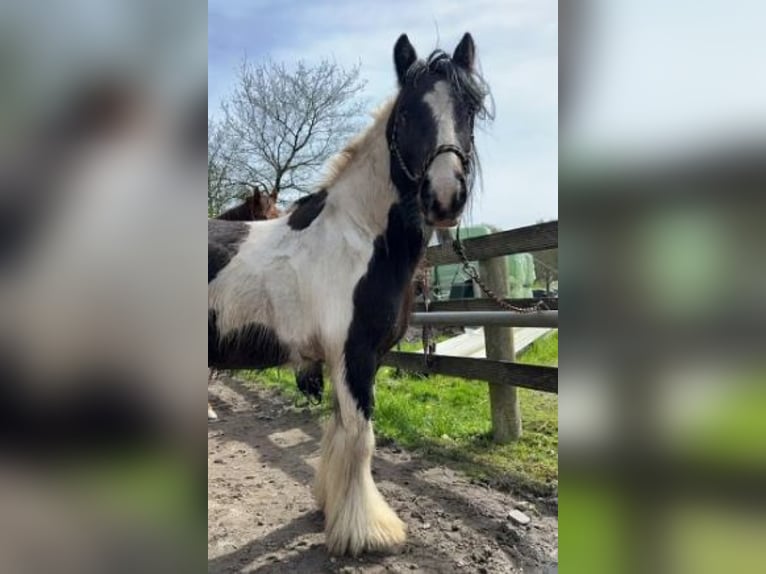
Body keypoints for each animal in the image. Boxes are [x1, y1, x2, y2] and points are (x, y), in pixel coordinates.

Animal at [207, 32, 488, 560]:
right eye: (407, 113)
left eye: (472, 109)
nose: (444, 197)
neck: (358, 234)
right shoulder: (353, 353)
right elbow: (361, 438)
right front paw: (367, 533)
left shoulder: (352, 359)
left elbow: (339, 432)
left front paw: (330, 507)